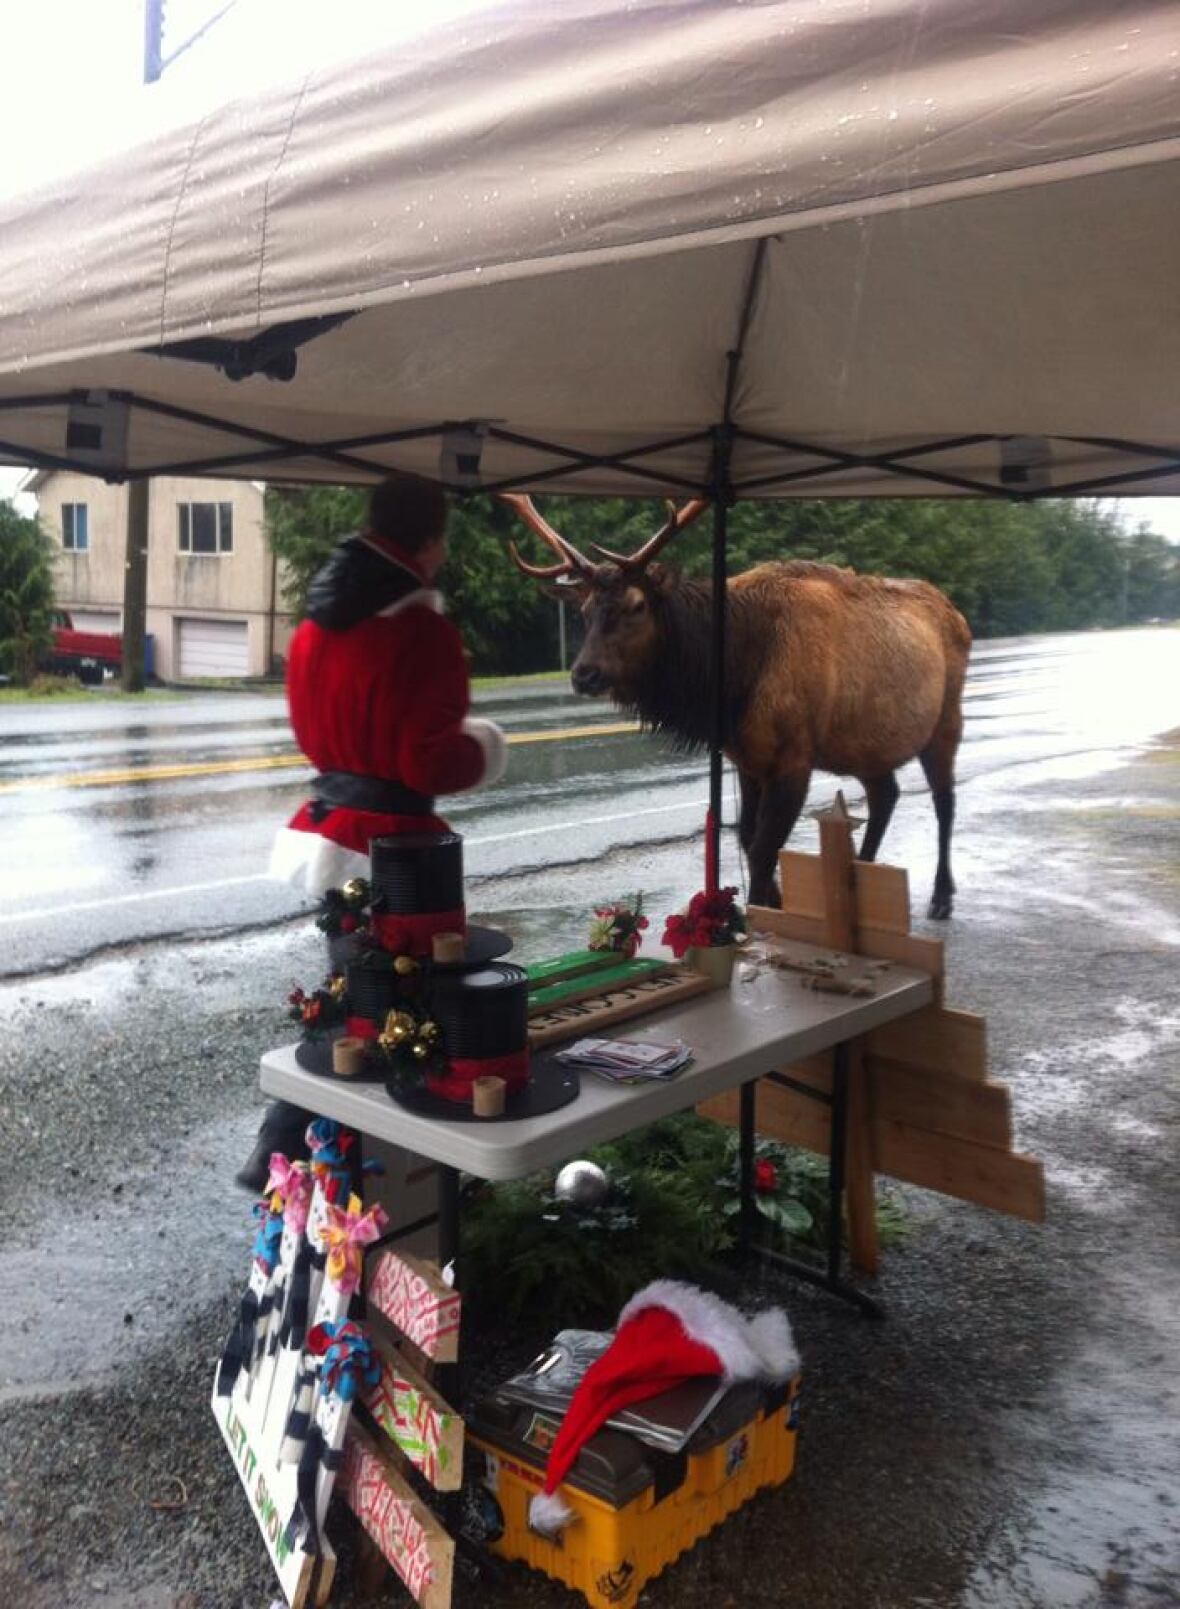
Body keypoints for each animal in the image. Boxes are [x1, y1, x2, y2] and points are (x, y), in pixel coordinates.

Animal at [502, 495, 972, 919]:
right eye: (584, 609)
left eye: (637, 604)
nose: (584, 674)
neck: (735, 681)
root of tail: (958, 614)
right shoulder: (747, 758)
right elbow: (748, 838)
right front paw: (772, 905)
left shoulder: (794, 757)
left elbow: (765, 847)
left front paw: (759, 918)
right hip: (865, 745)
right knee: (886, 795)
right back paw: (861, 877)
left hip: (946, 720)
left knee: (944, 799)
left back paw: (941, 897)